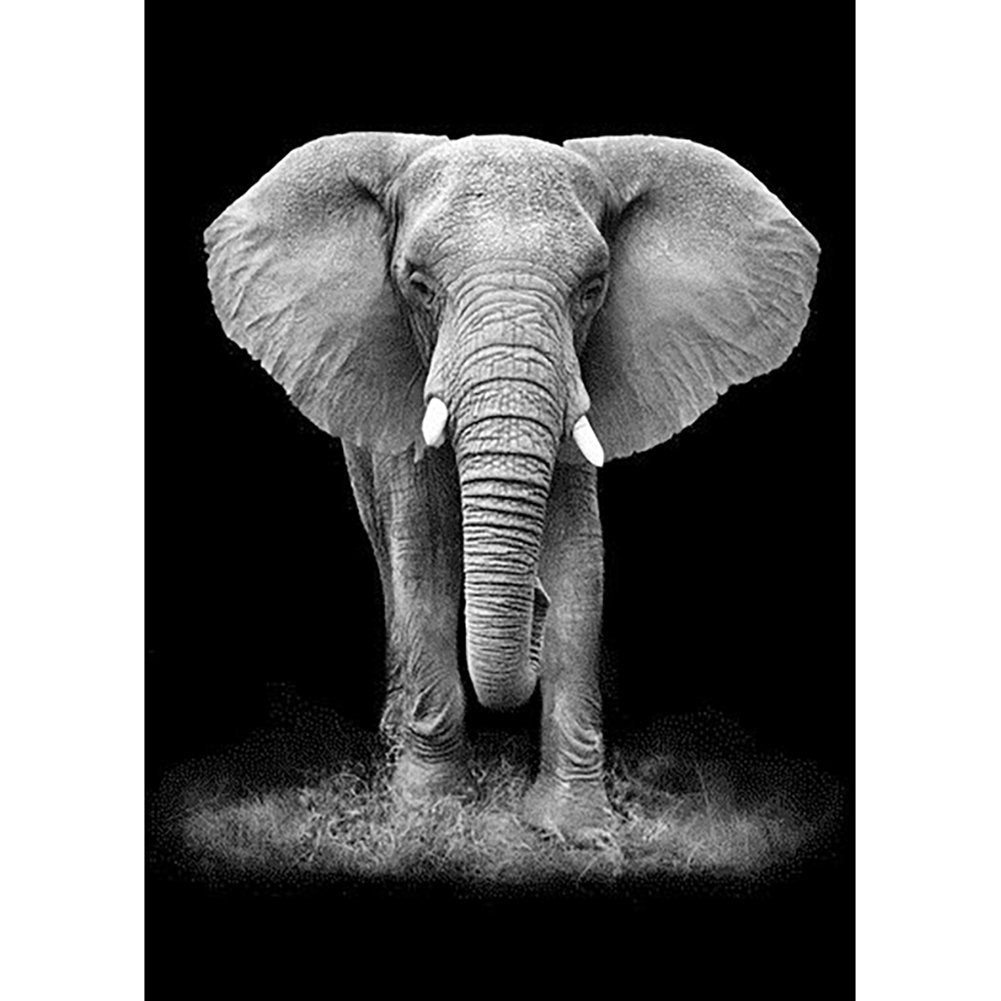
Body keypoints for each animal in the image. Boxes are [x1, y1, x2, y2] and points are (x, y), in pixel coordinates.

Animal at [204, 133, 819, 843]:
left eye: (592, 289)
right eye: (418, 285)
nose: (535, 602)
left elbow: (582, 564)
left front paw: (576, 829)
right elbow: (426, 563)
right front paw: (429, 812)